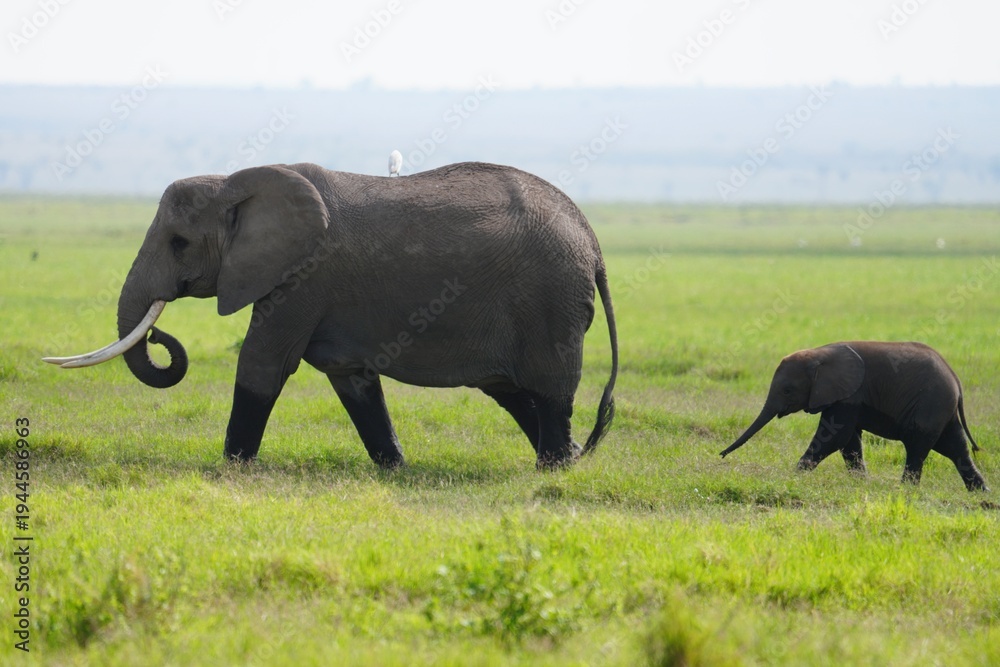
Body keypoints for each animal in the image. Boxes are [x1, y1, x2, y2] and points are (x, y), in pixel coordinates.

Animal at [44, 162, 619, 470]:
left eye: (179, 242)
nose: (162, 336)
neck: (236, 181)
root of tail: (593, 242)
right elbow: (352, 379)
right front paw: (395, 469)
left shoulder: (304, 274)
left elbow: (262, 364)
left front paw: (231, 468)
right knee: (511, 391)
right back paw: (567, 458)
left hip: (550, 302)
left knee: (549, 390)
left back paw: (552, 470)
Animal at [719, 342, 988, 491]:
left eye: (787, 390)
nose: (721, 455)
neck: (818, 354)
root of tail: (955, 380)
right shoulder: (846, 396)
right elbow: (848, 441)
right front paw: (860, 484)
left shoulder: (849, 395)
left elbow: (834, 436)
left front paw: (794, 477)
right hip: (941, 409)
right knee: (955, 447)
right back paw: (981, 492)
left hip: (930, 404)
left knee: (917, 447)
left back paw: (905, 490)